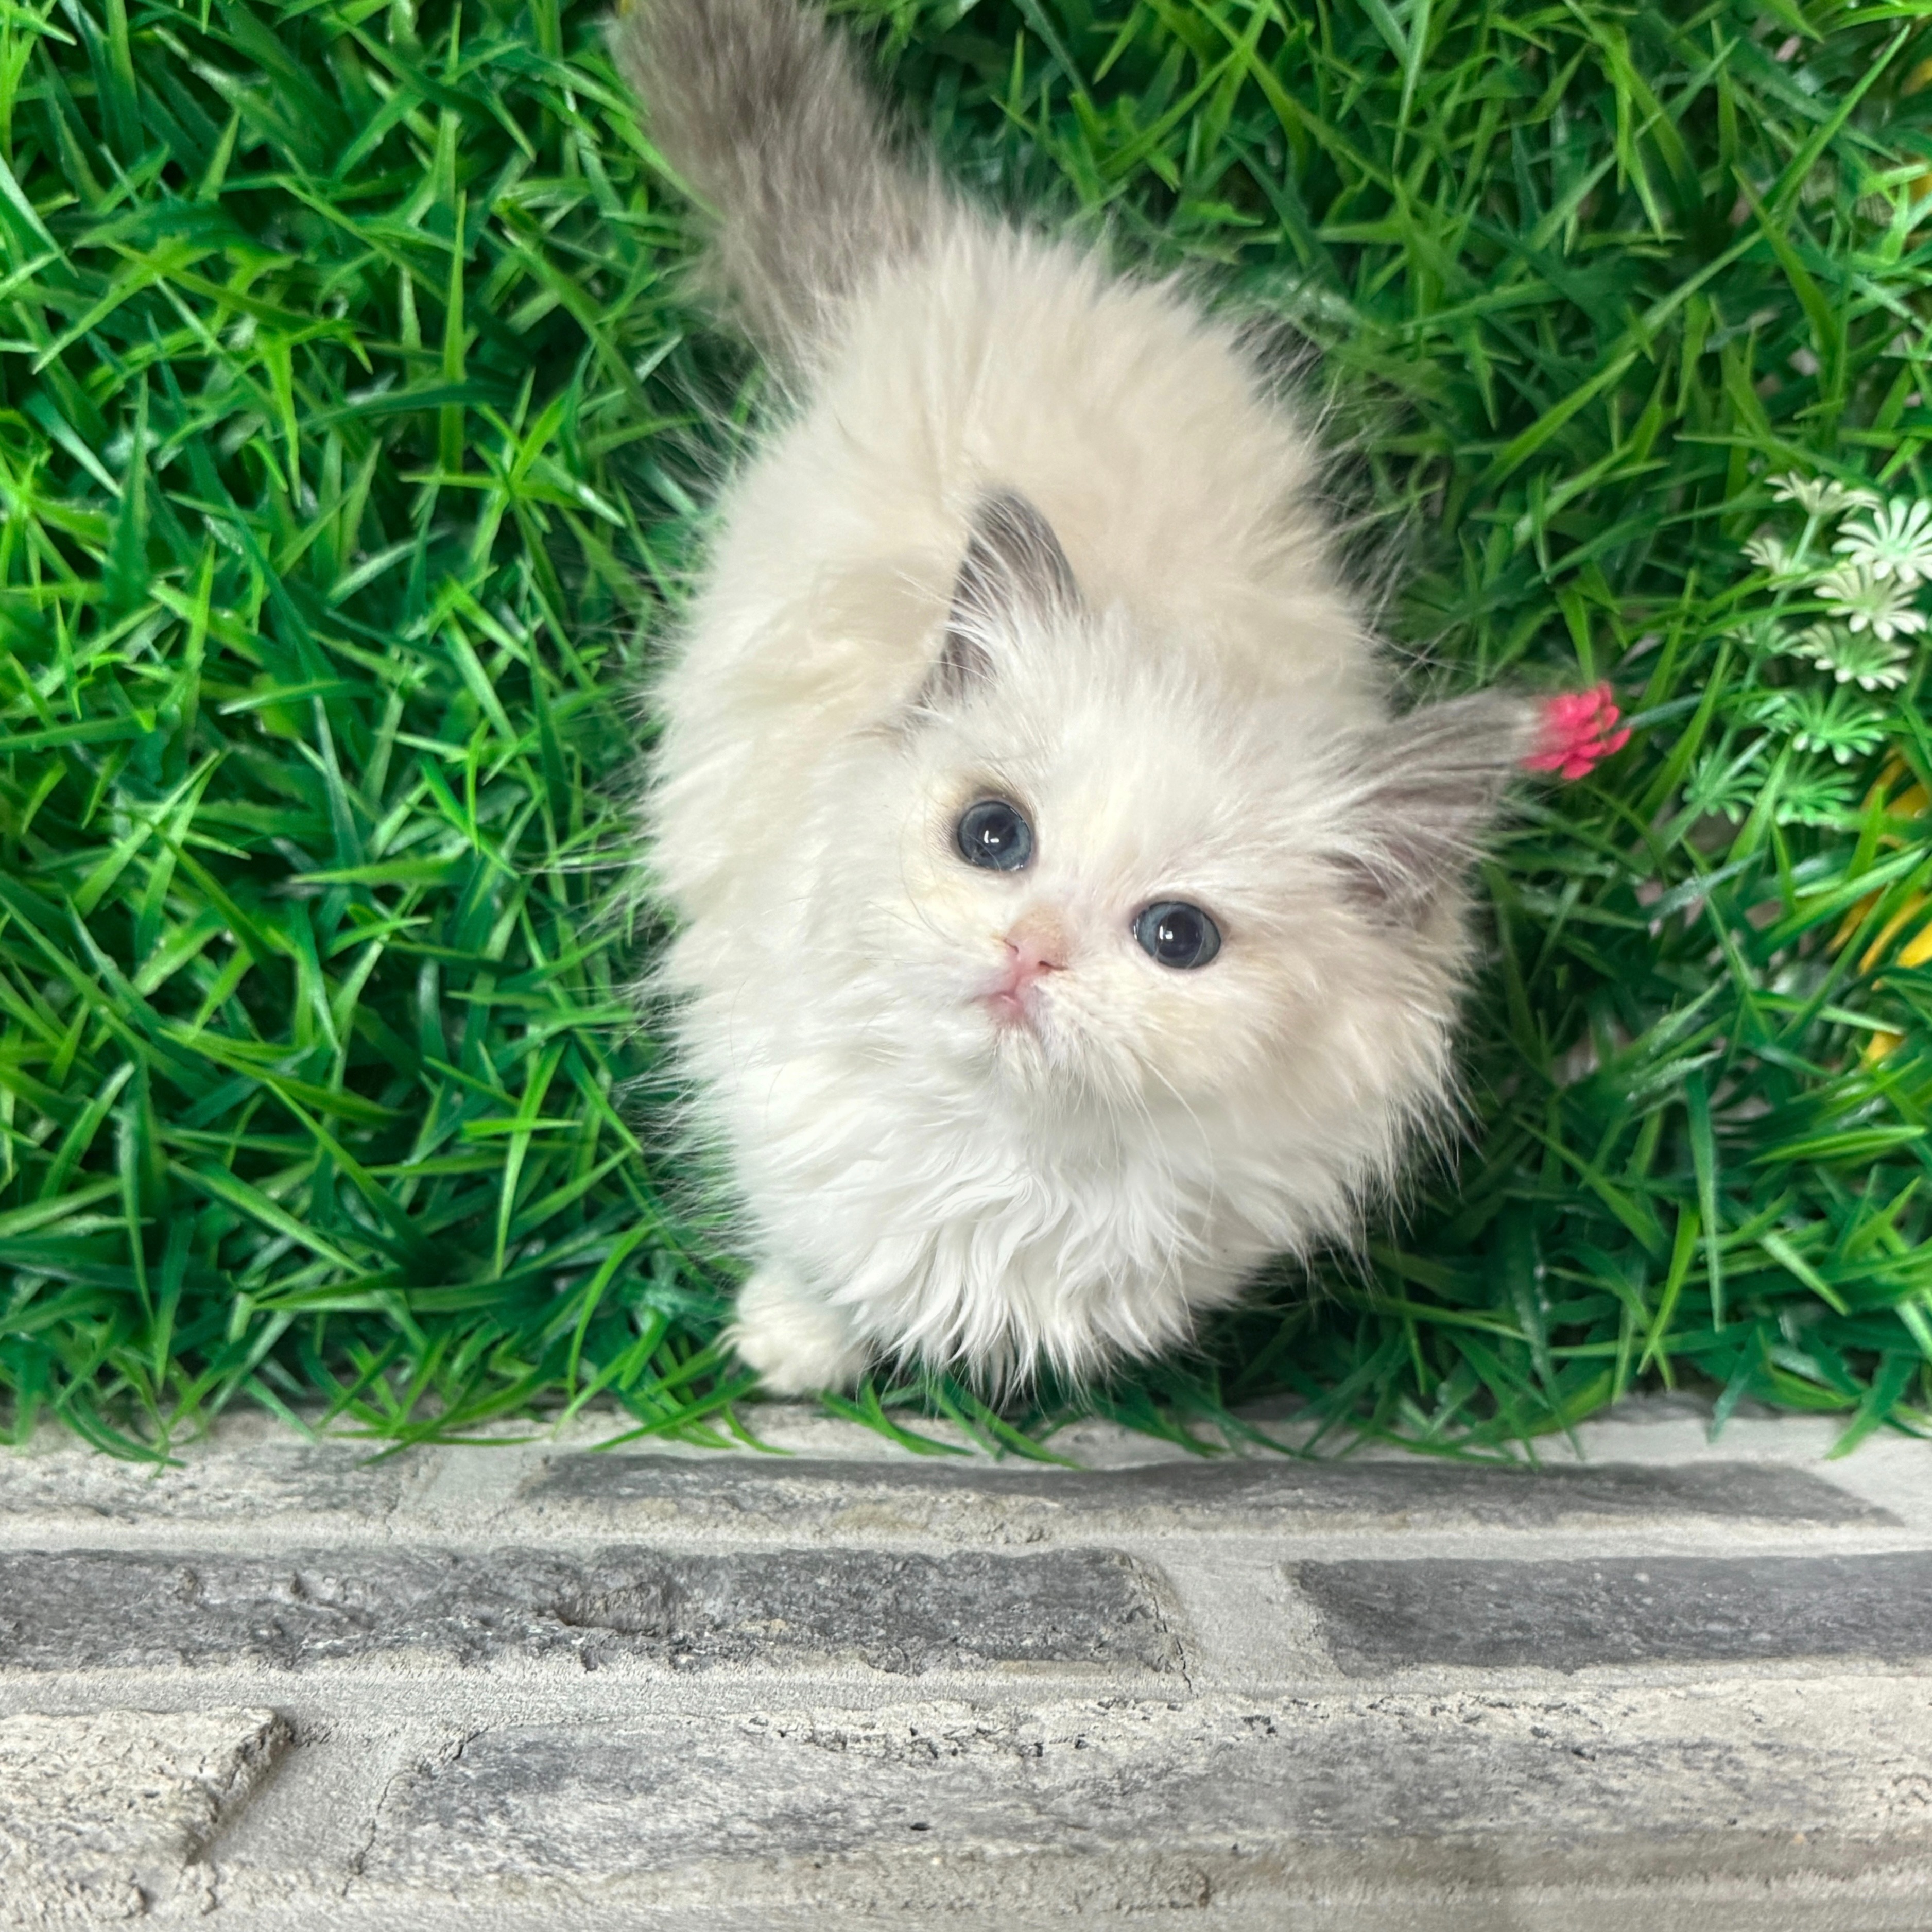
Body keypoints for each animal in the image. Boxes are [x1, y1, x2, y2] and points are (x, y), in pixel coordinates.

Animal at [613, 0, 1545, 1395]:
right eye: (993, 837)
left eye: (1179, 938)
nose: (1030, 948)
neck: (1006, 1164)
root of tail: (956, 267)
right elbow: (828, 1248)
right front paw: (794, 1340)